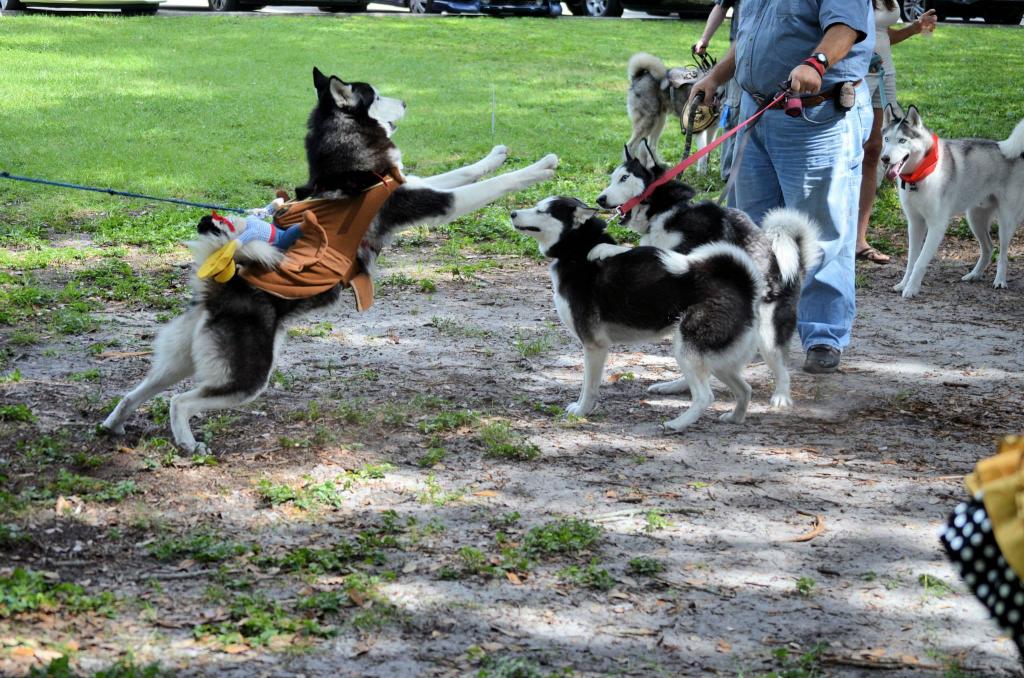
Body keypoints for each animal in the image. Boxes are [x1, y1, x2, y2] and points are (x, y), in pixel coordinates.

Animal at [101, 67, 561, 456]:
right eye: (376, 94)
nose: (407, 101)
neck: (350, 164)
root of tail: (219, 287)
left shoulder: (415, 184)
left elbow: (465, 170)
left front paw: (496, 154)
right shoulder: (427, 201)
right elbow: (489, 185)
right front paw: (537, 167)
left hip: (177, 361)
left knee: (136, 391)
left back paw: (114, 424)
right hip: (248, 376)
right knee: (179, 401)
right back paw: (186, 441)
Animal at [509, 196, 761, 432]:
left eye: (542, 211)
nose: (511, 213)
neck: (578, 253)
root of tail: (743, 284)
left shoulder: (594, 345)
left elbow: (589, 387)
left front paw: (581, 411)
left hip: (687, 350)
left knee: (705, 396)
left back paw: (677, 424)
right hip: (716, 360)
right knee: (745, 389)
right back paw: (735, 417)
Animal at [598, 140, 819, 405]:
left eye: (624, 178)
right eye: (612, 178)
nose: (599, 199)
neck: (668, 209)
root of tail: (794, 265)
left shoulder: (685, 254)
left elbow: (638, 248)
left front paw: (606, 248)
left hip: (768, 334)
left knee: (782, 368)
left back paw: (781, 396)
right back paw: (675, 386)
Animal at [876, 106, 1024, 297]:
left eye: (902, 140)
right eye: (887, 139)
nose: (885, 158)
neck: (920, 175)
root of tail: (1016, 153)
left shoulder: (937, 226)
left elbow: (919, 262)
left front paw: (911, 289)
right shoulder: (915, 223)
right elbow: (911, 260)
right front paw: (903, 284)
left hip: (1006, 222)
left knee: (1003, 253)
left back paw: (1000, 280)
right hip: (975, 219)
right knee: (989, 248)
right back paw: (974, 274)